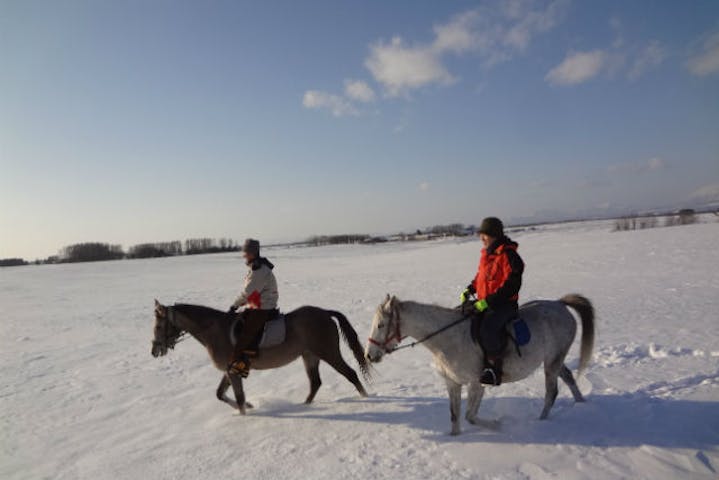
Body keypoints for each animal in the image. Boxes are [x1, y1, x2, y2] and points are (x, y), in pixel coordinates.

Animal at [150, 302, 366, 414]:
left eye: (159, 326)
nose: (154, 351)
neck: (214, 330)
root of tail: (325, 313)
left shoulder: (232, 371)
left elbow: (238, 397)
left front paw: (245, 413)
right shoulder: (230, 370)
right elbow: (220, 394)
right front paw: (249, 406)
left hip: (328, 353)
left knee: (351, 374)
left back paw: (366, 397)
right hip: (309, 356)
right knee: (315, 382)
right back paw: (304, 405)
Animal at [366, 292, 596, 436]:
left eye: (381, 325)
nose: (369, 355)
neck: (449, 339)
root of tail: (560, 304)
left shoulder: (476, 383)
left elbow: (470, 416)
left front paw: (497, 425)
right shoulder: (453, 384)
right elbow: (455, 416)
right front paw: (454, 437)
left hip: (552, 361)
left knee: (551, 392)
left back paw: (541, 422)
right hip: (553, 359)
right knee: (568, 377)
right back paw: (581, 403)